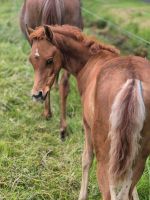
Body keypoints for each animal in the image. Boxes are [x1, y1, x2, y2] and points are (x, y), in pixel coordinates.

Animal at [26, 25, 150, 200]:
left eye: (49, 60)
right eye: (31, 60)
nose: (37, 94)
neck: (90, 61)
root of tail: (133, 79)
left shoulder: (86, 125)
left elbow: (86, 159)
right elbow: (130, 187)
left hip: (105, 158)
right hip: (140, 155)